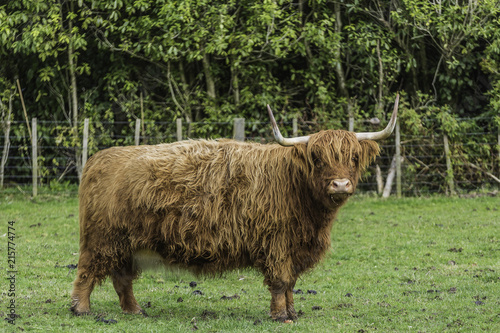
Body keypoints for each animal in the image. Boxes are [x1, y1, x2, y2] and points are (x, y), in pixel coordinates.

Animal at [70, 94, 400, 320]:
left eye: (354, 158)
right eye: (317, 159)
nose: (340, 185)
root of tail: (100, 158)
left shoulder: (294, 247)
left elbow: (291, 283)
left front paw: (293, 312)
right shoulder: (276, 243)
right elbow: (280, 281)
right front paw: (281, 315)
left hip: (126, 243)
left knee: (122, 278)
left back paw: (134, 310)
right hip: (102, 238)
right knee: (87, 271)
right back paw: (81, 309)